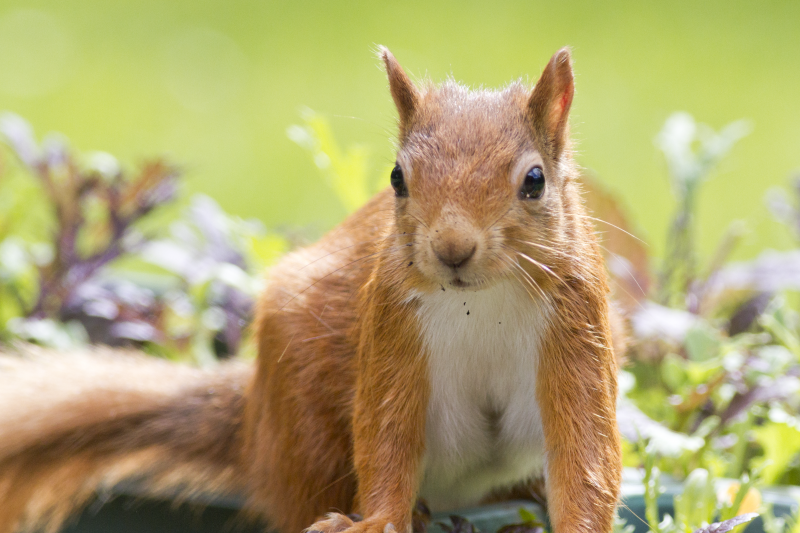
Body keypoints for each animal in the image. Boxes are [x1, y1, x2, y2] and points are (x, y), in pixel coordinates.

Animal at [0, 46, 620, 532]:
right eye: (397, 178)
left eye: (534, 181)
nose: (452, 248)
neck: (481, 301)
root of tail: (254, 422)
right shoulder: (392, 327)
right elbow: (386, 434)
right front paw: (380, 521)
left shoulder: (577, 326)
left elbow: (586, 450)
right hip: (306, 421)